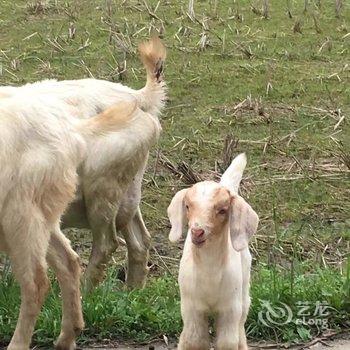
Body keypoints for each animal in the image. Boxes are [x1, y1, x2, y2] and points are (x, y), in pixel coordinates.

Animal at [168, 154, 258, 350]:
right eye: (187, 206)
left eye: (223, 210)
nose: (197, 232)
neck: (209, 273)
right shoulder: (191, 308)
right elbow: (194, 340)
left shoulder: (230, 309)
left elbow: (227, 341)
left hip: (244, 286)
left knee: (242, 322)